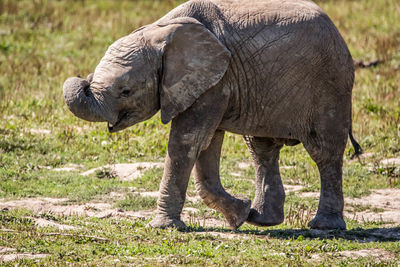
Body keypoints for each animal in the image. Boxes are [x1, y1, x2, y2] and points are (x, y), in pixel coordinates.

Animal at [62, 0, 362, 230]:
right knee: (261, 149)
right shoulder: (211, 82)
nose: (85, 79)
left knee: (325, 152)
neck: (161, 30)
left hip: (332, 84)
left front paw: (164, 228)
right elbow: (206, 143)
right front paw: (240, 214)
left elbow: (187, 141)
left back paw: (324, 226)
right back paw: (261, 220)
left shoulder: (216, 81)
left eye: (125, 91)